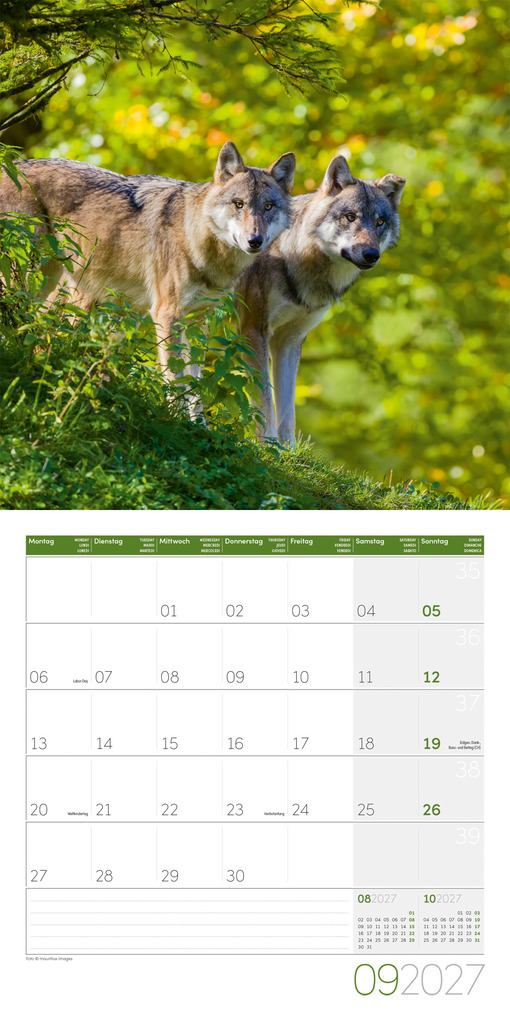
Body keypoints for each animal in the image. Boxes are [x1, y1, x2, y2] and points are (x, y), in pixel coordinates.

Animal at [0, 142, 295, 377]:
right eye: (239, 204)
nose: (255, 241)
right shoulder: (166, 314)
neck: (196, 239)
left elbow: (195, 386)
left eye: (268, 207)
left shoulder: (198, 322)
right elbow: (174, 381)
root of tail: (10, 165)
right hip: (32, 279)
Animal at [238, 155, 405, 442]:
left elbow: (288, 412)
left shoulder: (288, 340)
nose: (372, 255)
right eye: (350, 217)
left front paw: (287, 449)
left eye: (380, 222)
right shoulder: (253, 331)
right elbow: (265, 402)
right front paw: (268, 444)